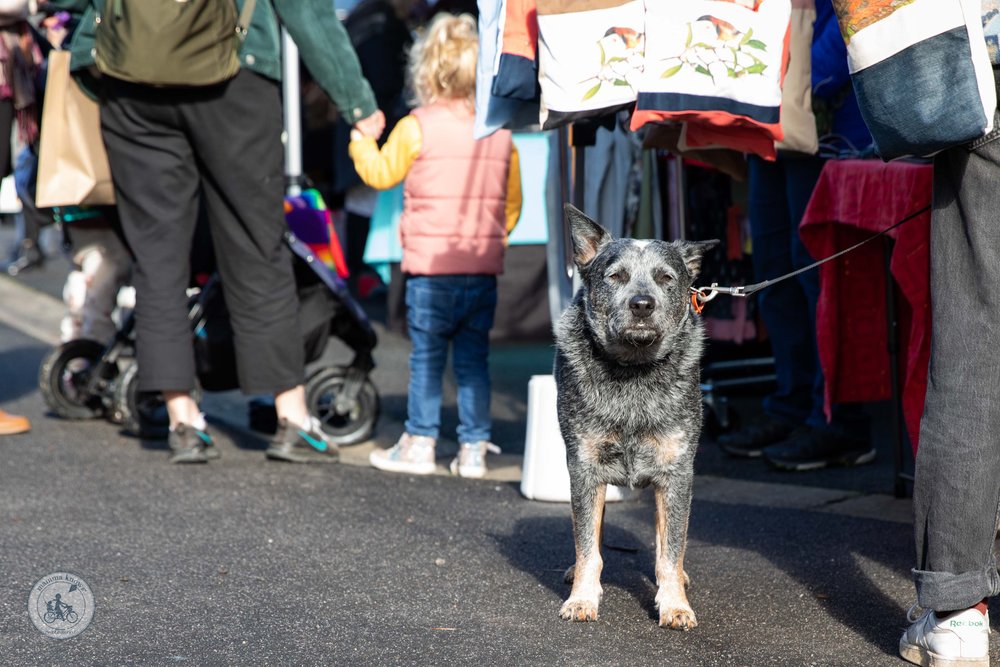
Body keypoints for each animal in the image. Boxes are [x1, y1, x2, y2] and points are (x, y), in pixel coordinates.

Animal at [556, 204, 720, 632]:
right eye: (616, 276)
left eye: (666, 278)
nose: (642, 304)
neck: (633, 373)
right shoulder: (584, 467)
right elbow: (587, 545)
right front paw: (582, 597)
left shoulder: (677, 472)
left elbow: (670, 549)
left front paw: (675, 604)